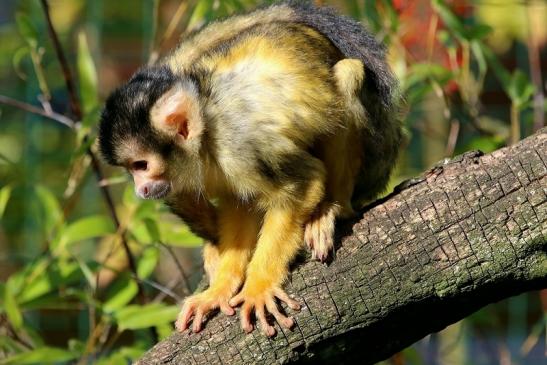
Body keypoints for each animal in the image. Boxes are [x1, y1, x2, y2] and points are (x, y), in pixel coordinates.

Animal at [98, 0, 402, 336]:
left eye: (142, 165)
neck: (207, 136)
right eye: (131, 169)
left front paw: (258, 286)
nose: (140, 188)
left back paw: (330, 207)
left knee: (347, 77)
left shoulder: (241, 147)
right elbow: (239, 206)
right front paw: (219, 289)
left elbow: (303, 184)